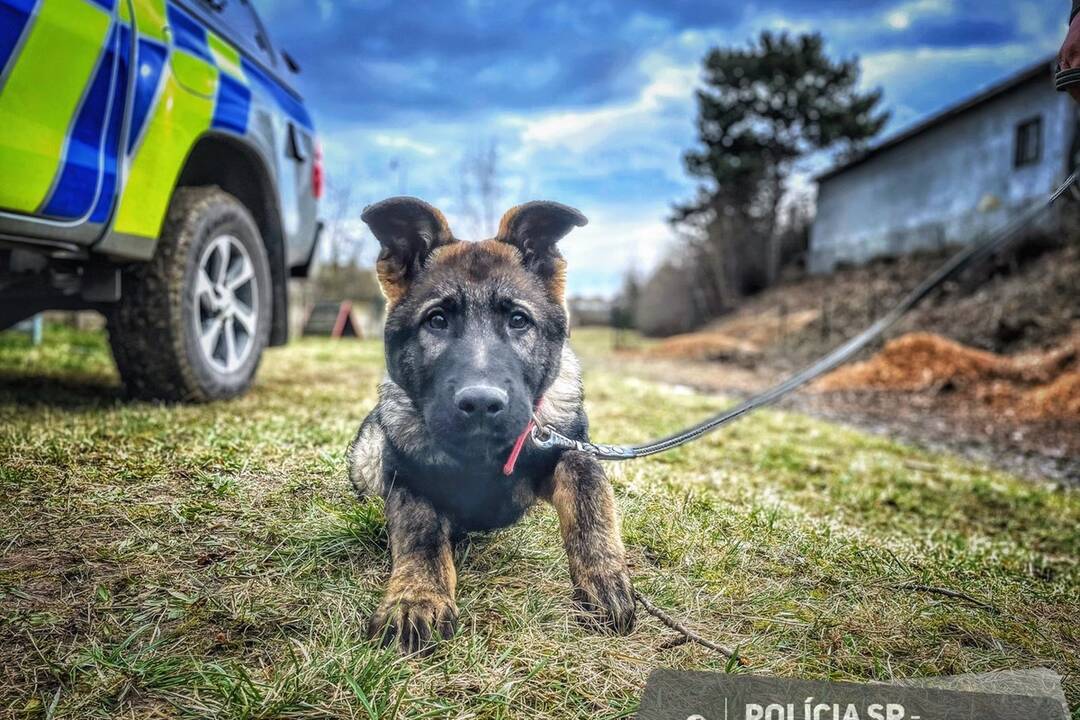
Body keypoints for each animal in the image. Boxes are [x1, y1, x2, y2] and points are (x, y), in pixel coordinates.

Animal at [347, 195, 630, 651]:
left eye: (518, 320)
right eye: (437, 320)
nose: (481, 403)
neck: (480, 457)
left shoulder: (567, 447)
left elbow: (588, 493)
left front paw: (603, 577)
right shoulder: (409, 478)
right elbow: (420, 534)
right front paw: (415, 598)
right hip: (368, 454)